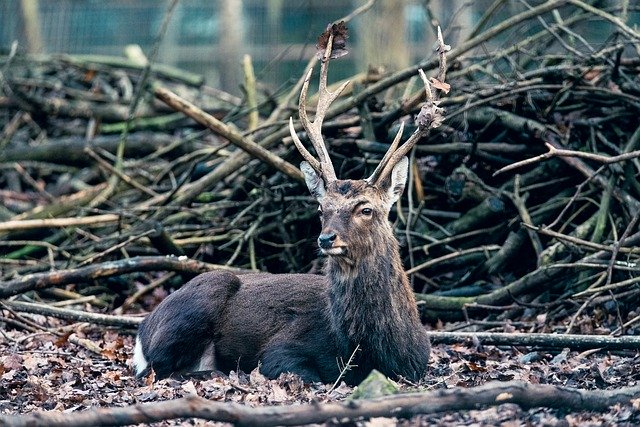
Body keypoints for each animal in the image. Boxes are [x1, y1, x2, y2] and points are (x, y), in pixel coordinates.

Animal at [132, 21, 448, 386]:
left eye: (366, 209)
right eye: (322, 209)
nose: (327, 238)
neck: (371, 351)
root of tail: (142, 329)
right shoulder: (282, 350)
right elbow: (303, 372)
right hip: (202, 296)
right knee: (157, 368)